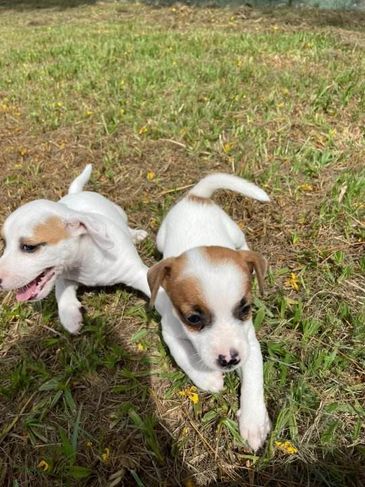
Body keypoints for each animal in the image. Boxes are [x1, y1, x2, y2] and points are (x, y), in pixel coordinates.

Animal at [0, 166, 149, 334]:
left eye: (29, 247)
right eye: (4, 243)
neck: (87, 258)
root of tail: (76, 193)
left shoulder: (138, 273)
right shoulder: (63, 276)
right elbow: (61, 293)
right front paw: (70, 317)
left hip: (120, 212)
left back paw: (136, 234)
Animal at [147, 173, 270, 452]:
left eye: (245, 309)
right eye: (193, 319)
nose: (230, 360)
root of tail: (196, 197)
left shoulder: (249, 344)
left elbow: (254, 380)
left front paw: (254, 421)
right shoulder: (169, 331)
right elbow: (184, 355)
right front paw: (207, 378)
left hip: (233, 229)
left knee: (242, 244)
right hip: (161, 237)